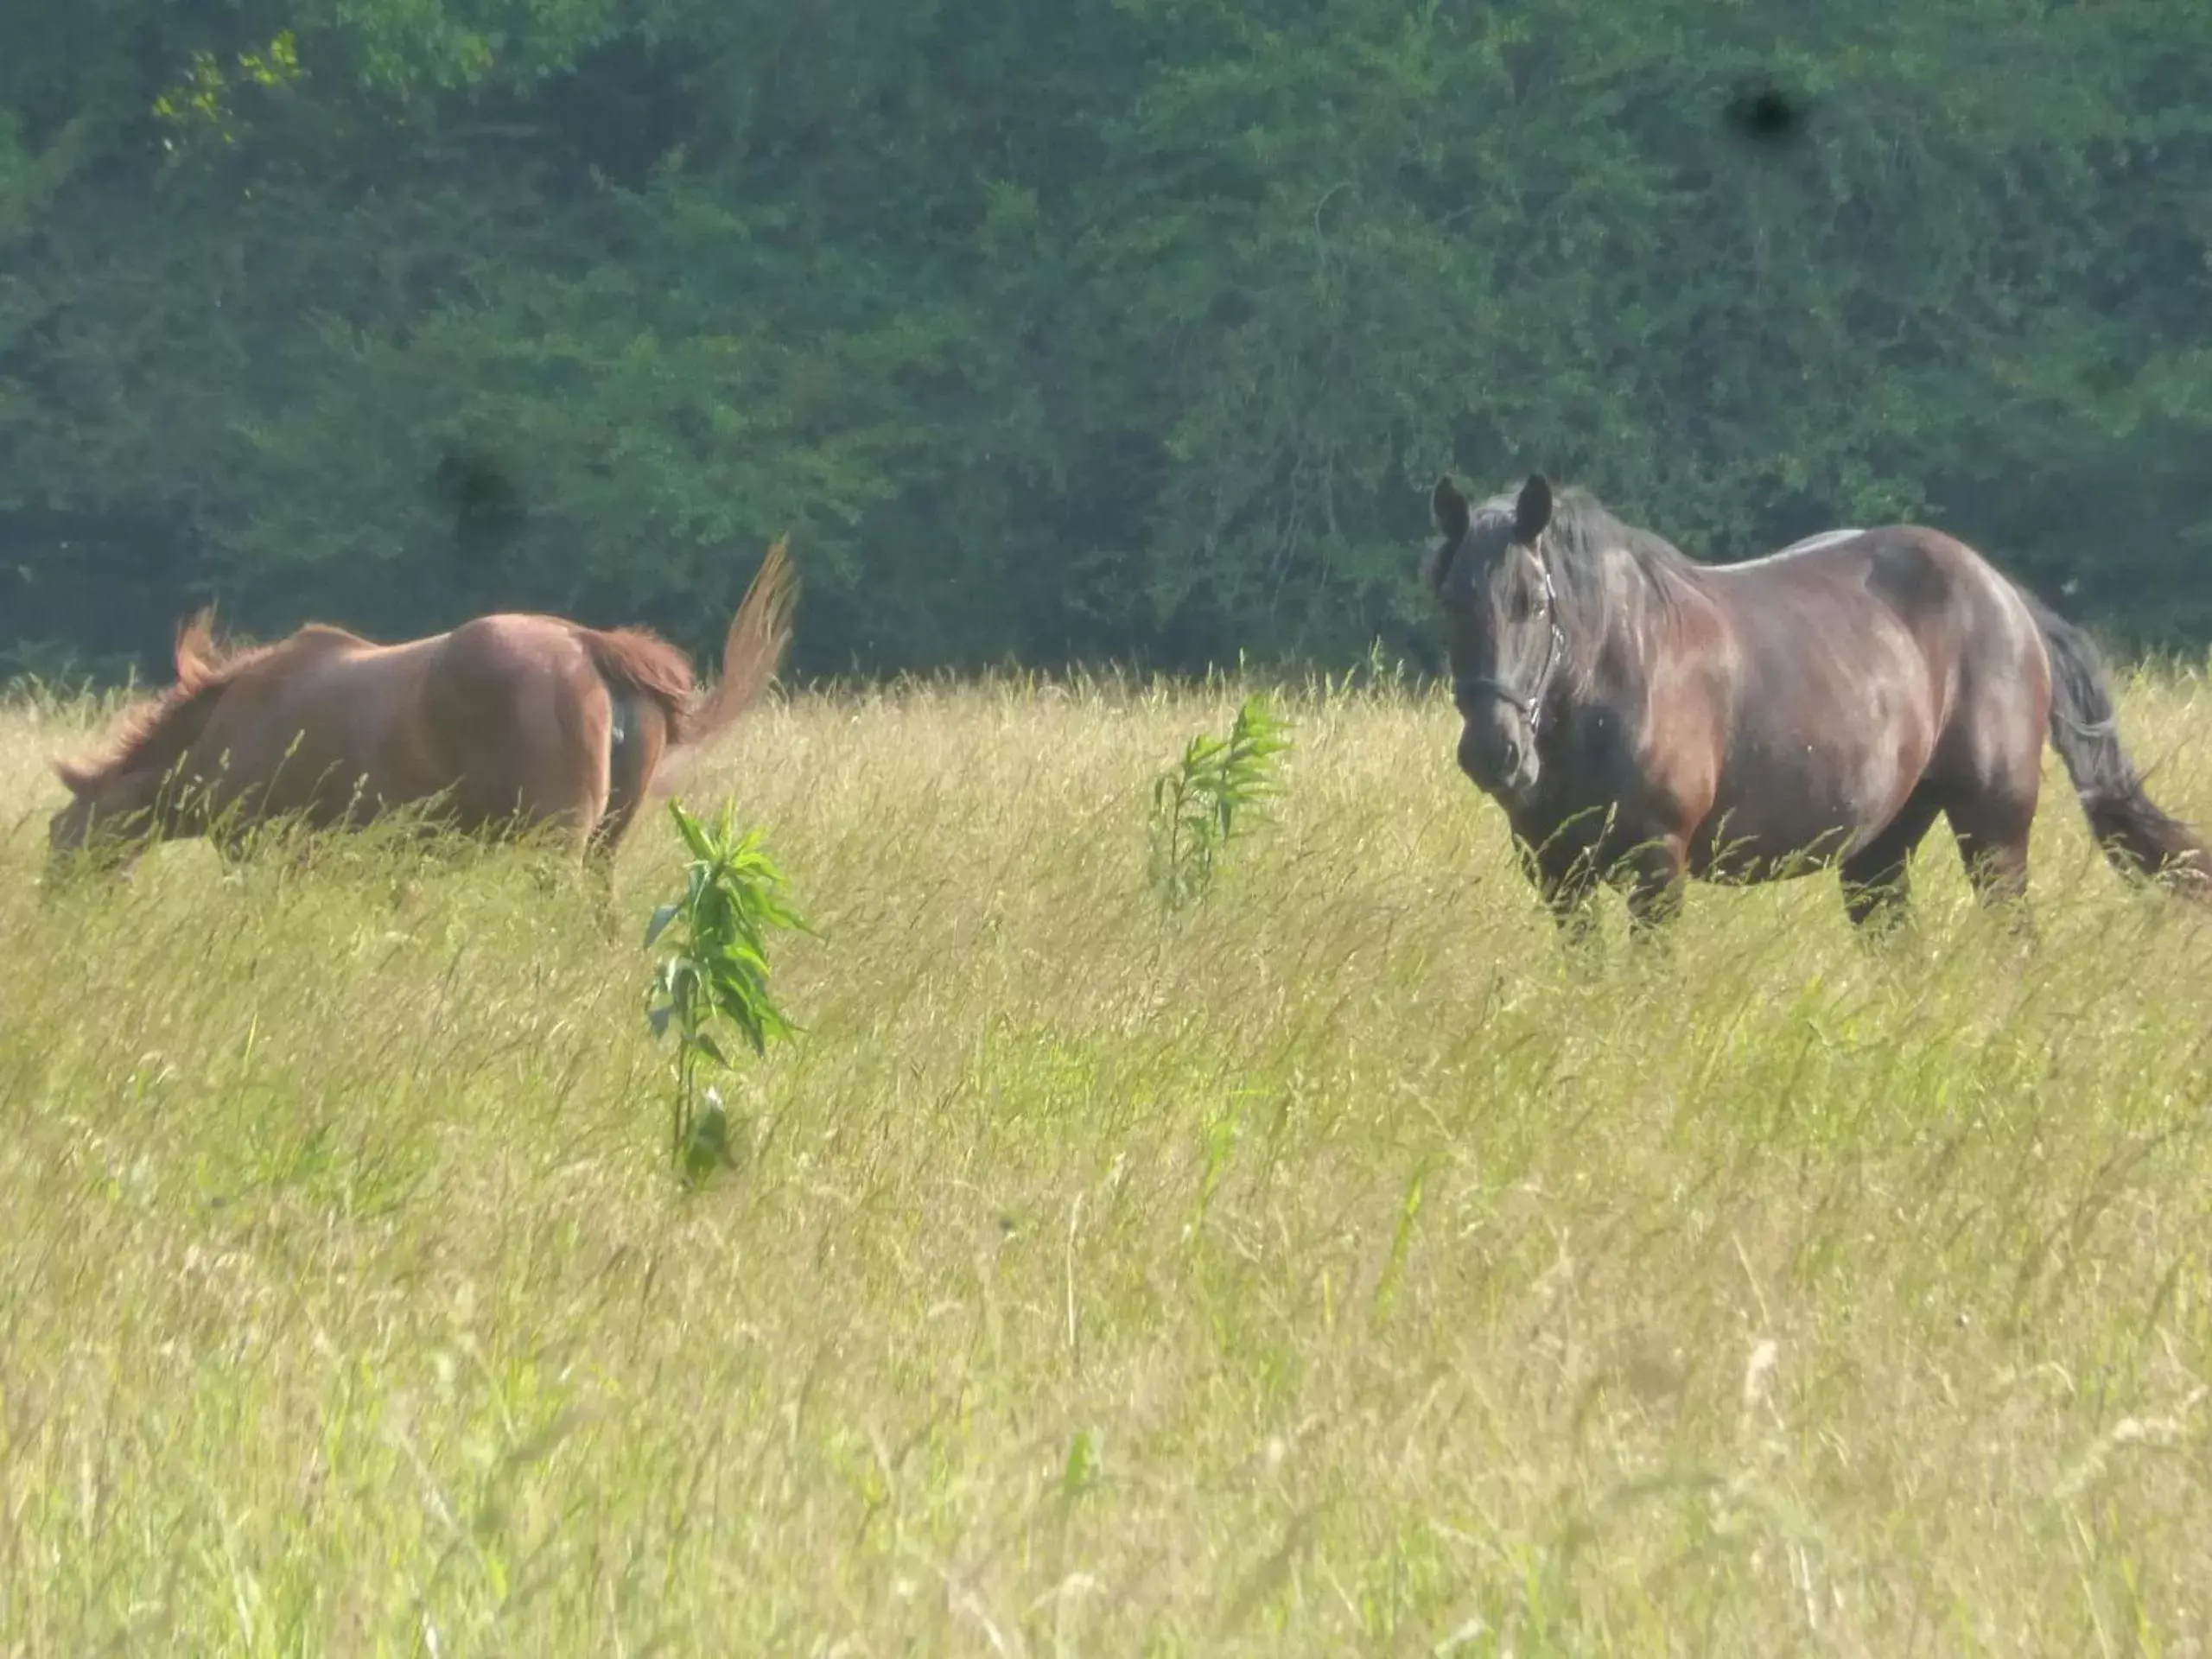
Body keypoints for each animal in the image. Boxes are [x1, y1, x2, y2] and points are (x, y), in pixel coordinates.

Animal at [49, 542, 804, 885]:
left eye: (61, 843)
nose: (60, 916)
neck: (229, 722)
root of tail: (590, 645)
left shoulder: (264, 855)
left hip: (556, 846)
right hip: (601, 848)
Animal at [1424, 477, 2202, 938]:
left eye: (1534, 603)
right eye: (1451, 602)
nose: (1493, 752)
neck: (1616, 675)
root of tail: (2005, 595)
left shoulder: (1657, 866)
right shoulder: (1558, 874)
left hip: (1994, 829)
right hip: (1880, 850)